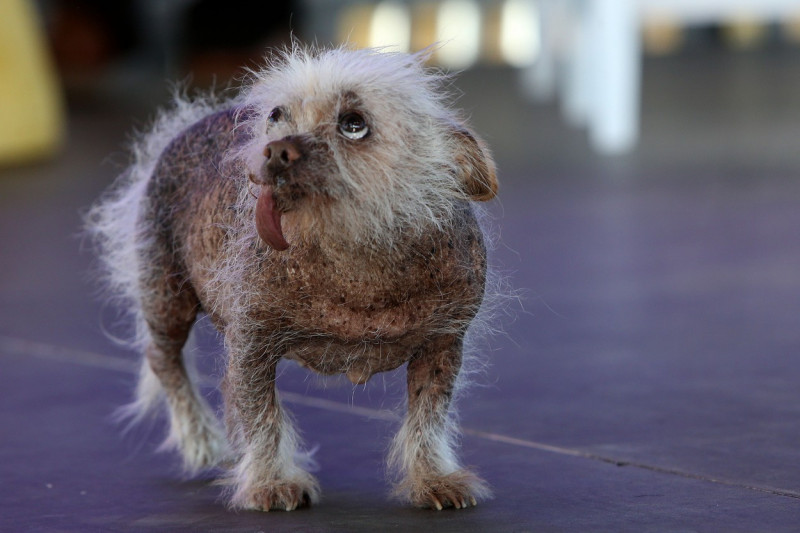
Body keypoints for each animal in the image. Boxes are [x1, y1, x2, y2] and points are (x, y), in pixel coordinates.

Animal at [89, 45, 500, 512]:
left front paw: (433, 478)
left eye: (353, 124)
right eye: (276, 116)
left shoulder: (443, 344)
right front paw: (270, 483)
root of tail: (188, 123)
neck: (354, 260)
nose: (274, 151)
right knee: (165, 360)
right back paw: (200, 440)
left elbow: (429, 416)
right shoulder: (251, 343)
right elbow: (261, 415)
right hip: (166, 296)